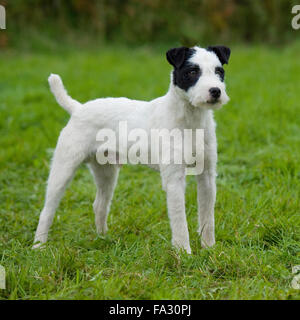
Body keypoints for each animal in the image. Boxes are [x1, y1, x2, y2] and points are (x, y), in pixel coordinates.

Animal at [33, 45, 230, 255]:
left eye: (219, 71)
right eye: (192, 72)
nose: (215, 91)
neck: (190, 120)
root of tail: (78, 109)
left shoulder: (207, 176)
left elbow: (207, 217)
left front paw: (209, 248)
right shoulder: (174, 180)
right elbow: (179, 220)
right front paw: (183, 252)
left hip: (106, 172)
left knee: (99, 204)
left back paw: (103, 238)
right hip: (64, 168)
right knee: (47, 210)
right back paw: (38, 245)